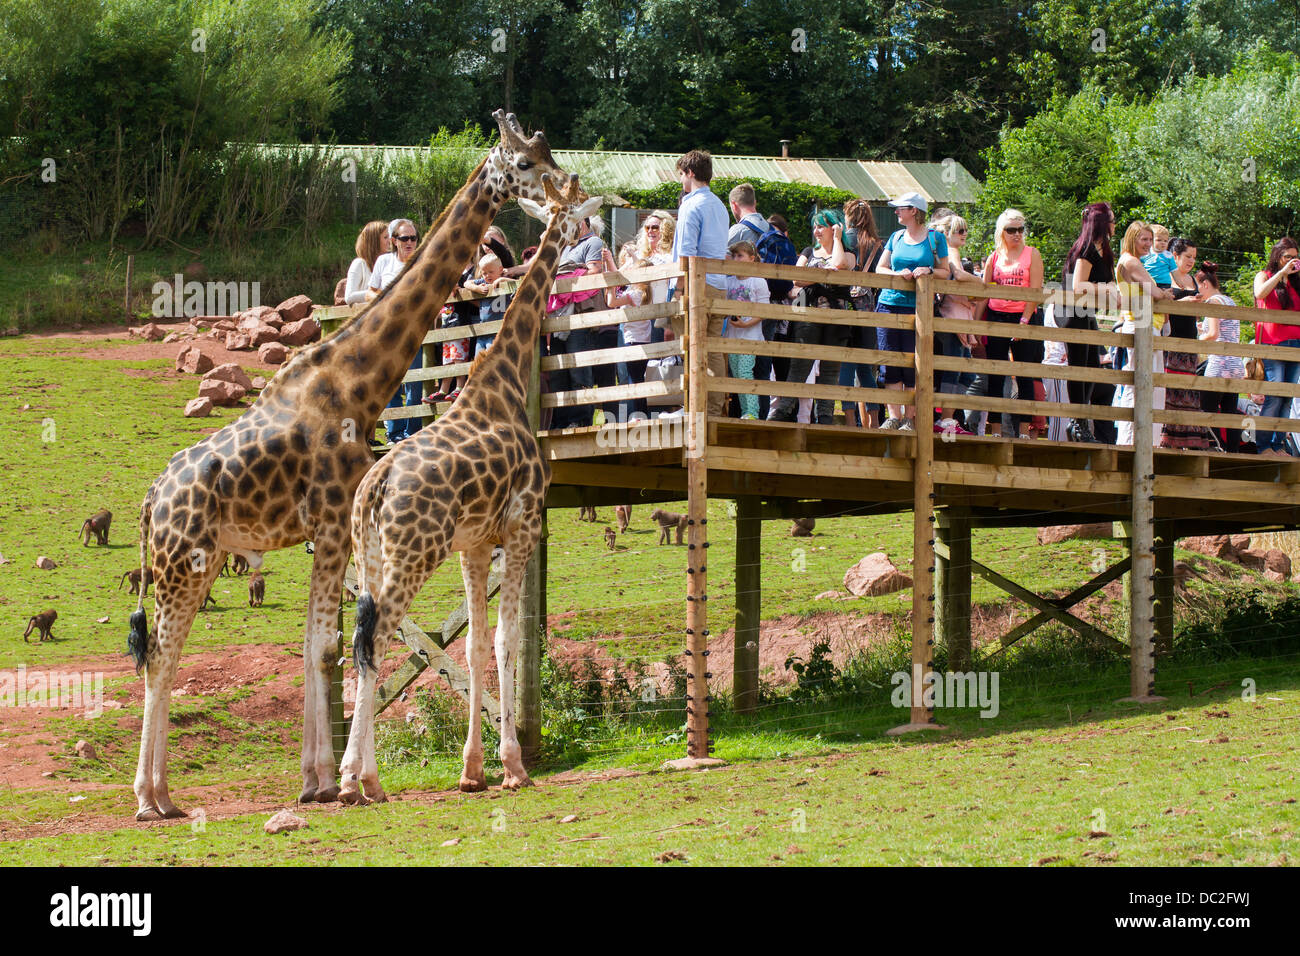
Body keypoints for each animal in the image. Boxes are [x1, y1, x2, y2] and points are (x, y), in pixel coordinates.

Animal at [124, 111, 566, 822]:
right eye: (524, 164)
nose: (560, 186)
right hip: (181, 563)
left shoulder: (326, 533)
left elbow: (319, 648)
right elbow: (329, 648)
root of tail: (148, 501)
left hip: (200, 560)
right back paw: (148, 797)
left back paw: (165, 794)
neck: (357, 379)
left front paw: (318, 779)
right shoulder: (332, 523)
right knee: (161, 654)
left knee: (166, 652)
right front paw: (330, 779)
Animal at [340, 175, 603, 806]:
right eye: (572, 214)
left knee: (360, 643)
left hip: (372, 555)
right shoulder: (524, 523)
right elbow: (508, 640)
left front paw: (473, 770)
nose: (597, 226)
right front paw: (513, 766)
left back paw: (356, 777)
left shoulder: (475, 545)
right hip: (414, 554)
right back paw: (360, 780)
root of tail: (375, 485)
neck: (504, 381)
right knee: (375, 639)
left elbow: (475, 644)